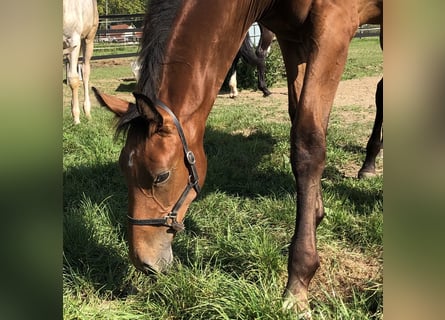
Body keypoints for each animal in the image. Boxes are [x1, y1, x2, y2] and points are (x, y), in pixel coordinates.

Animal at [91, 0, 382, 316]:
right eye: (123, 171)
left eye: (161, 176)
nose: (144, 262)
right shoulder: (292, 39)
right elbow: (301, 122)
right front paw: (316, 213)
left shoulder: (334, 27)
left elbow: (308, 143)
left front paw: (298, 284)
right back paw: (369, 163)